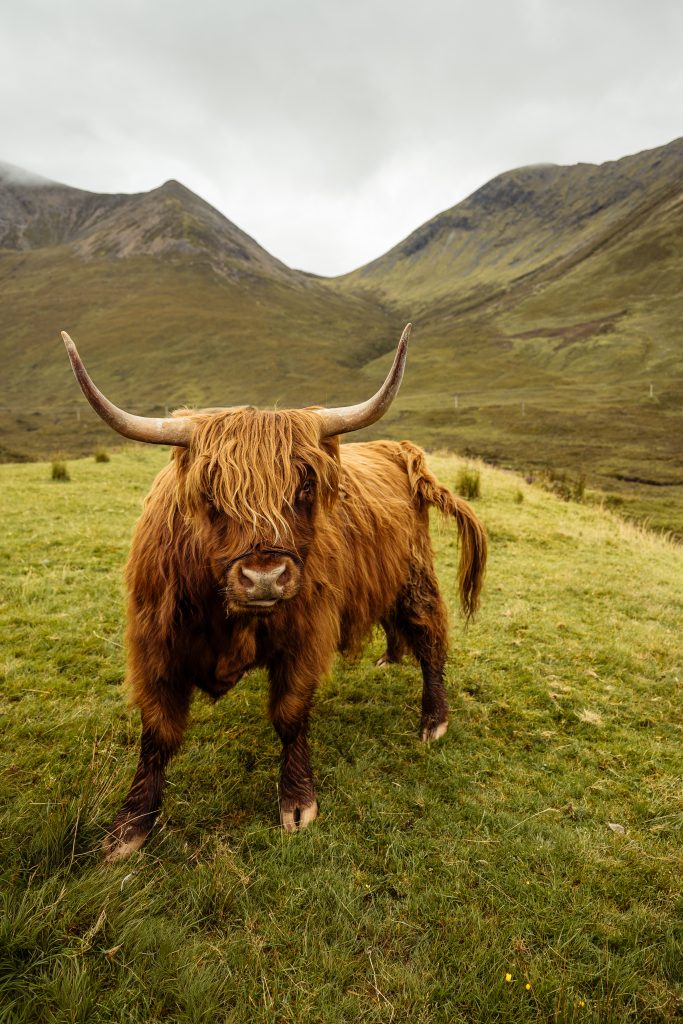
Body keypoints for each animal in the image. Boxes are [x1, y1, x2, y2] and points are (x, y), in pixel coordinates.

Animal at [61, 325, 487, 863]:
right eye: (210, 493)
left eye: (304, 486)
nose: (264, 578)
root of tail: (398, 449)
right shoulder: (155, 645)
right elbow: (157, 733)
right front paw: (129, 827)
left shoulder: (304, 635)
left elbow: (289, 715)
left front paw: (298, 803)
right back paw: (390, 659)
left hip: (415, 576)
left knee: (429, 637)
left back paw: (433, 719)